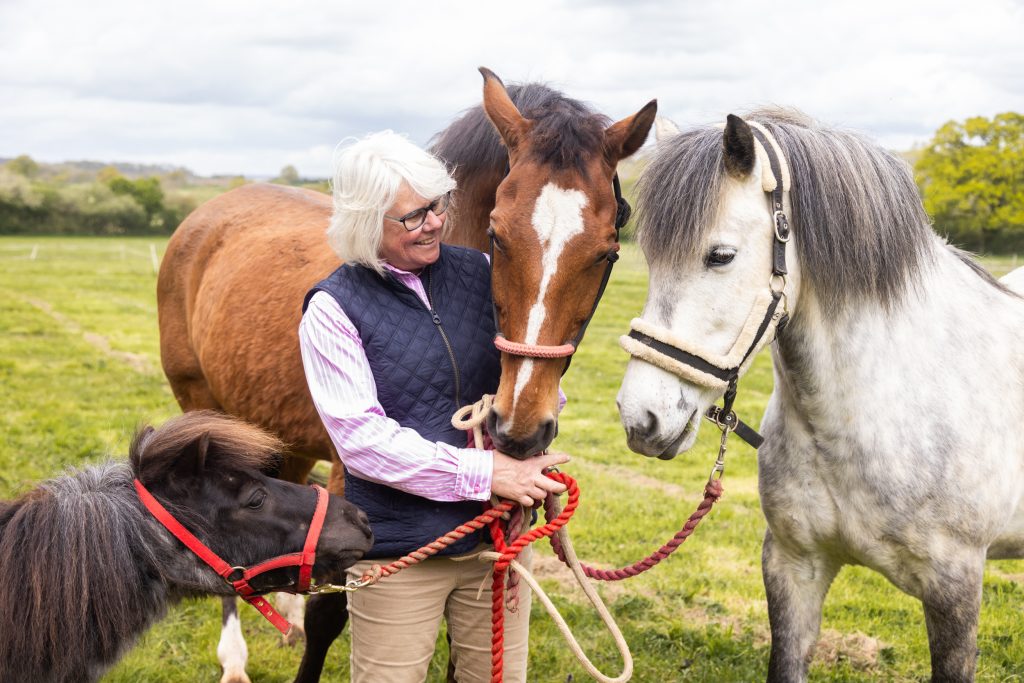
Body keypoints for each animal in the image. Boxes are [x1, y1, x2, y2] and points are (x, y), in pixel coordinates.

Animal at [159, 69, 655, 683]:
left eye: (608, 252)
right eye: (497, 234)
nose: (518, 430)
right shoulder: (349, 479)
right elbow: (331, 612)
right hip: (203, 410)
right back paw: (234, 658)